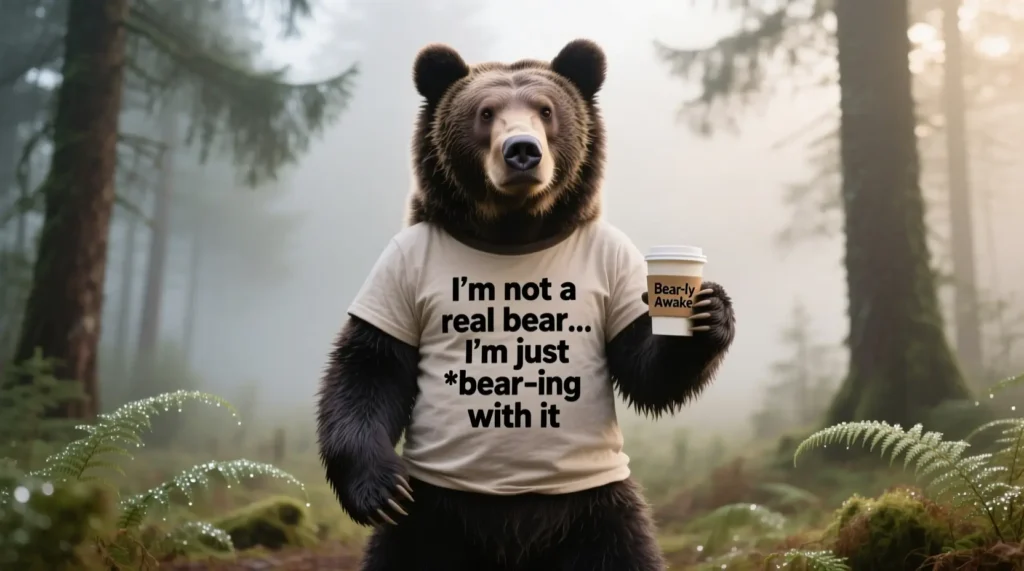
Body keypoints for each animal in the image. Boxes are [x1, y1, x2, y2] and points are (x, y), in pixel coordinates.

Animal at [316, 39, 736, 571]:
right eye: (485, 112)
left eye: (546, 110)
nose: (522, 151)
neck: (512, 229)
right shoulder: (400, 268)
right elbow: (369, 366)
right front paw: (382, 490)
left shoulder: (612, 260)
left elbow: (642, 368)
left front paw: (710, 311)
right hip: (434, 524)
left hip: (596, 515)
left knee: (623, 553)